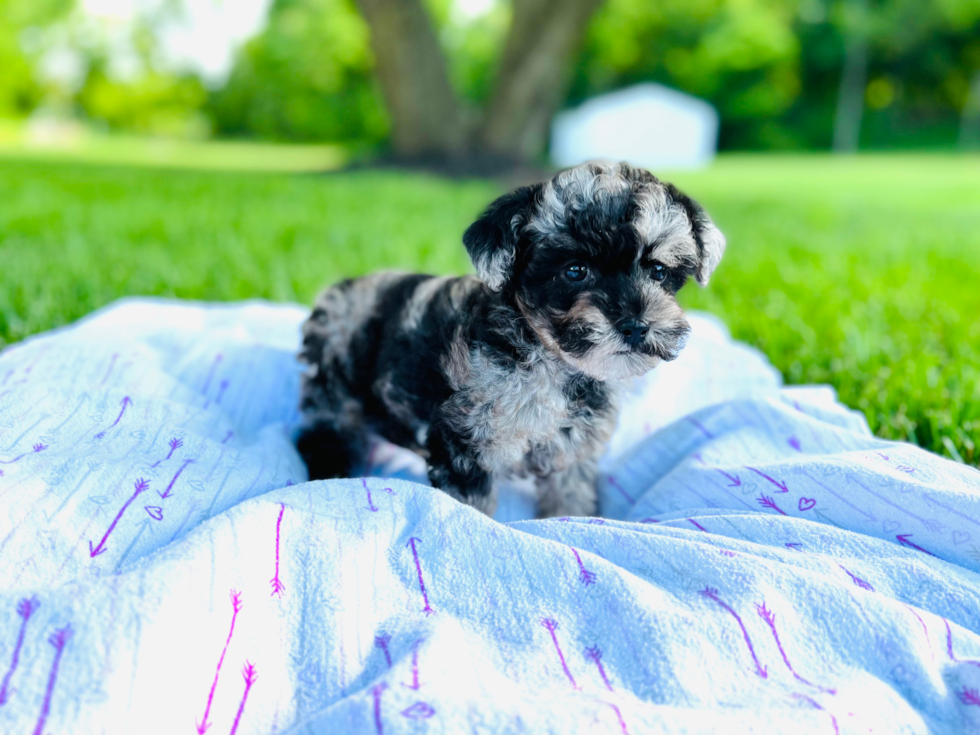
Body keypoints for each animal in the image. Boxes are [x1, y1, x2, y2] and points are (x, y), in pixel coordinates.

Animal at [298, 161, 728, 516]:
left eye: (658, 271)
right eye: (575, 271)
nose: (636, 325)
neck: (552, 362)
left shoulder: (572, 453)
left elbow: (569, 498)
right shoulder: (465, 446)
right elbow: (472, 509)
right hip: (335, 394)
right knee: (324, 434)